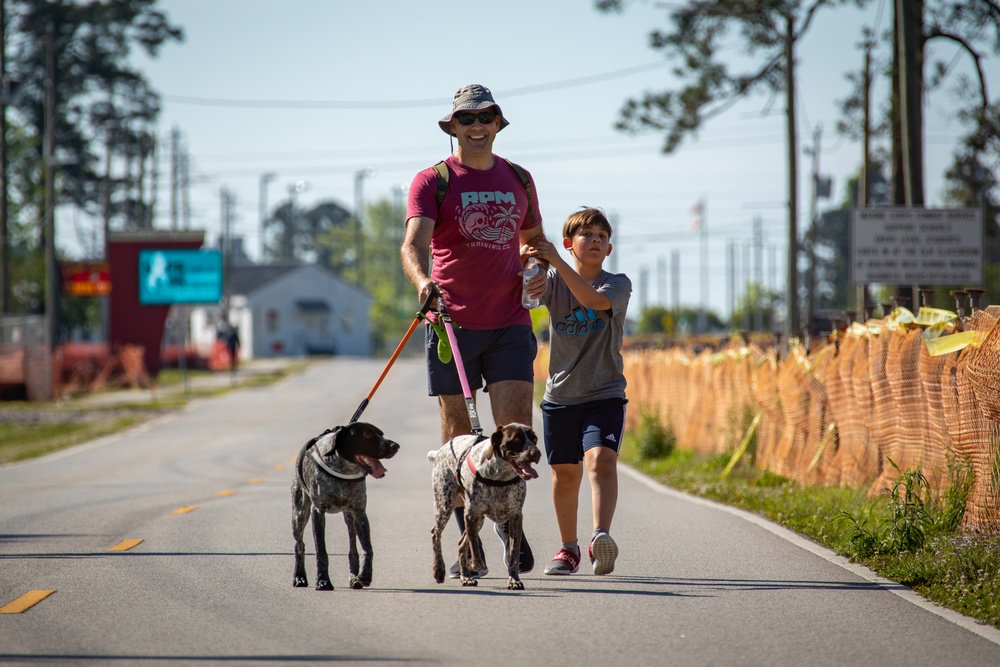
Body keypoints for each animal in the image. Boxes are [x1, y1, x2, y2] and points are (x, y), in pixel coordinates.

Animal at [290, 426, 398, 592]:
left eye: (381, 434)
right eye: (367, 435)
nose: (395, 446)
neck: (344, 468)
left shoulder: (359, 513)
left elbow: (367, 548)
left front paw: (365, 576)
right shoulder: (318, 512)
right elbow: (321, 550)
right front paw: (323, 581)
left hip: (349, 518)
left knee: (353, 549)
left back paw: (354, 578)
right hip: (299, 515)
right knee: (299, 546)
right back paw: (299, 577)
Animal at [428, 422, 544, 588]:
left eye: (534, 439)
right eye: (517, 439)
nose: (537, 453)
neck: (501, 476)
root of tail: (440, 451)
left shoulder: (515, 517)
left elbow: (514, 555)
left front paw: (514, 580)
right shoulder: (470, 514)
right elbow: (476, 554)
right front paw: (474, 565)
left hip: (479, 519)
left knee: (461, 544)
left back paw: (466, 577)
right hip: (445, 504)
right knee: (436, 533)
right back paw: (439, 570)